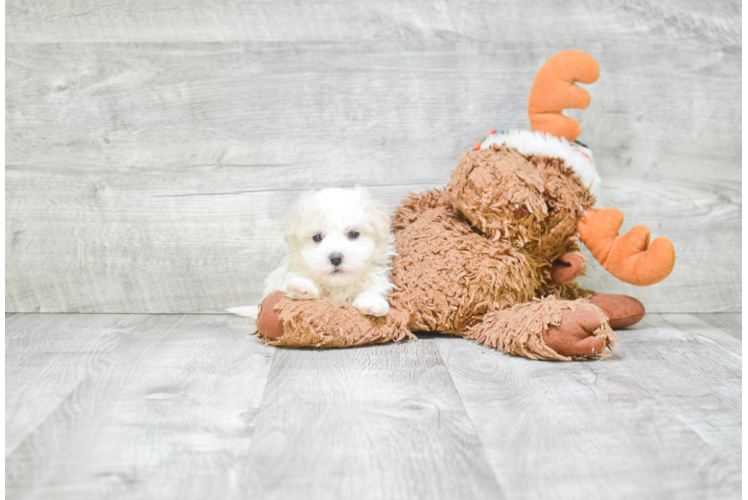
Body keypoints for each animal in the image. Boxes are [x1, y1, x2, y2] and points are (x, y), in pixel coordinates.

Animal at [226, 186, 398, 318]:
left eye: (353, 234)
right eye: (317, 237)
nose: (335, 258)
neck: (336, 287)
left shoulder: (375, 278)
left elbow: (371, 290)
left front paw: (372, 303)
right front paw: (300, 287)